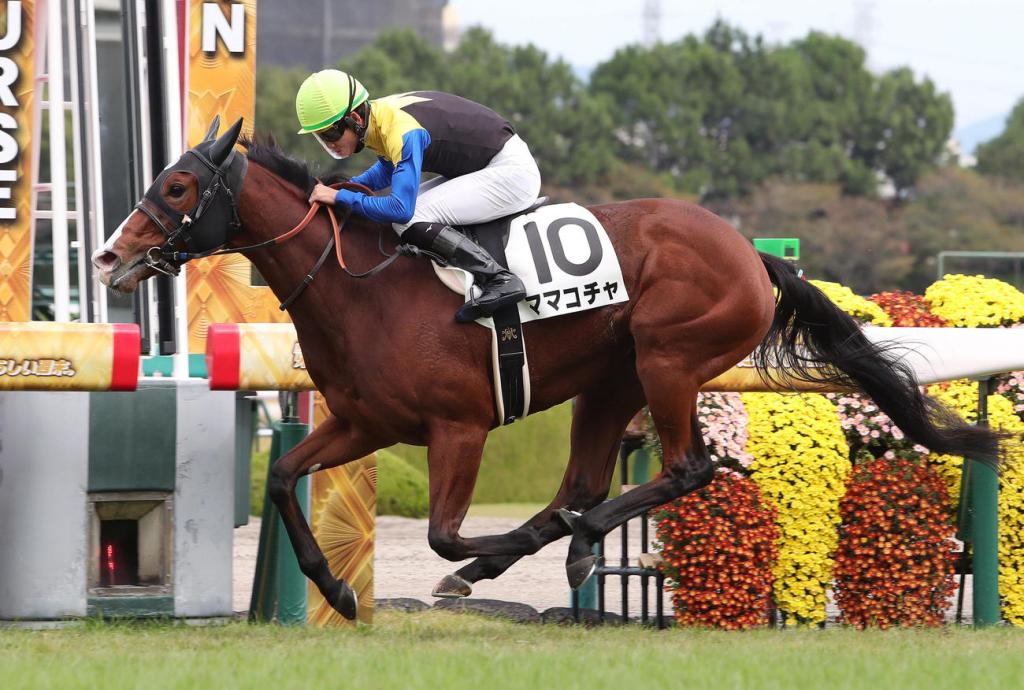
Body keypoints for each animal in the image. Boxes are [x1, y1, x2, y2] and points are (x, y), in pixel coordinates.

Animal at [92, 118, 1001, 620]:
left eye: (179, 186)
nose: (109, 257)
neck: (361, 287)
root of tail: (750, 253)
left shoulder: (458, 427)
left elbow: (442, 529)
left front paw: (486, 555)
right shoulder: (363, 422)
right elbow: (283, 477)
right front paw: (341, 593)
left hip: (669, 359)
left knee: (684, 470)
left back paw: (568, 542)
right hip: (612, 380)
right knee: (586, 484)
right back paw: (552, 547)